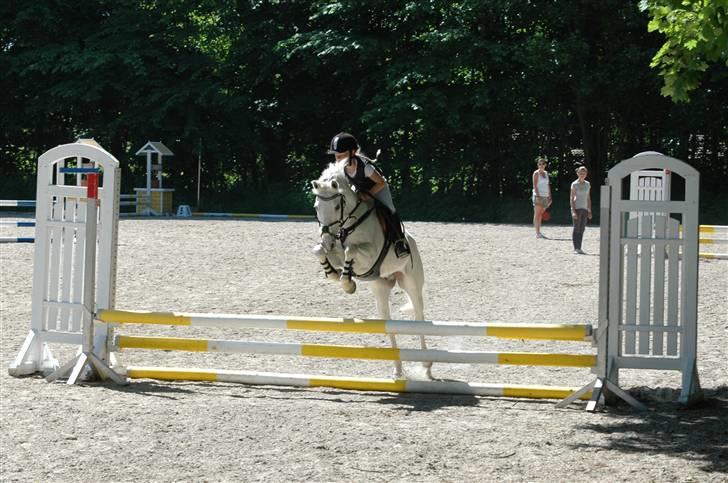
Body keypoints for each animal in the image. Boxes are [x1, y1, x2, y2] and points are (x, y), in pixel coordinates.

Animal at [310, 164, 430, 382]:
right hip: (381, 290)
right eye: (316, 207)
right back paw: (398, 370)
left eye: (337, 207)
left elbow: (351, 250)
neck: (349, 225)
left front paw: (348, 283)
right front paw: (335, 274)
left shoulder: (370, 255)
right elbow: (320, 251)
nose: (327, 240)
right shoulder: (334, 250)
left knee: (419, 317)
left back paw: (426, 365)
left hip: (412, 284)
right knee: (389, 324)